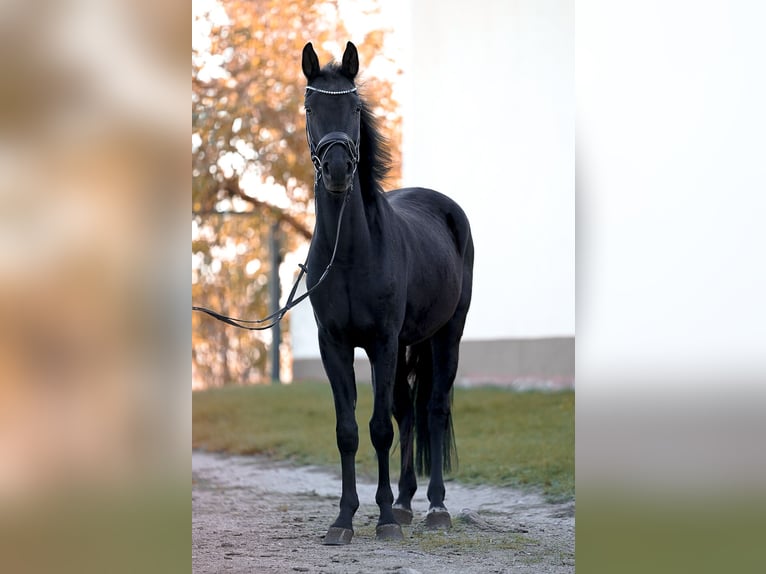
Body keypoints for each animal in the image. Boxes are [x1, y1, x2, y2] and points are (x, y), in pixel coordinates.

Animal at [304, 42, 474, 548]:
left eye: (355, 109)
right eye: (310, 107)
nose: (338, 170)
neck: (349, 253)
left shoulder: (380, 342)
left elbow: (379, 429)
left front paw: (380, 520)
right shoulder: (335, 345)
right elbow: (348, 430)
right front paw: (344, 519)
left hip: (446, 335)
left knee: (433, 409)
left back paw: (435, 507)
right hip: (405, 346)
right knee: (408, 412)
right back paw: (403, 502)